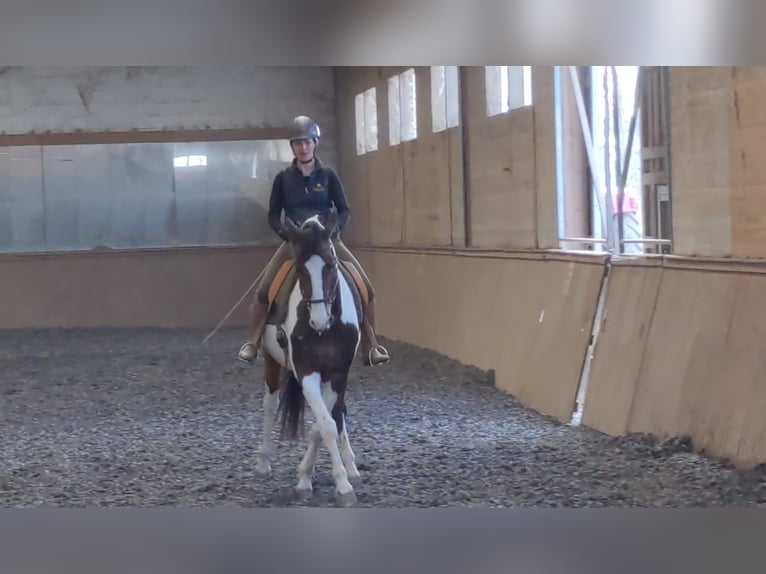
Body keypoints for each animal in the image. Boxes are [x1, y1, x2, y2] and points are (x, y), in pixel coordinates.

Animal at [254, 212, 364, 508]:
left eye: (331, 265)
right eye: (300, 270)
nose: (319, 320)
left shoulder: (338, 374)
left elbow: (323, 423)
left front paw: (312, 476)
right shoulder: (307, 373)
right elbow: (324, 424)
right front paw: (337, 486)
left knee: (340, 412)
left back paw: (351, 465)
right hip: (271, 362)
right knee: (270, 405)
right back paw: (263, 462)